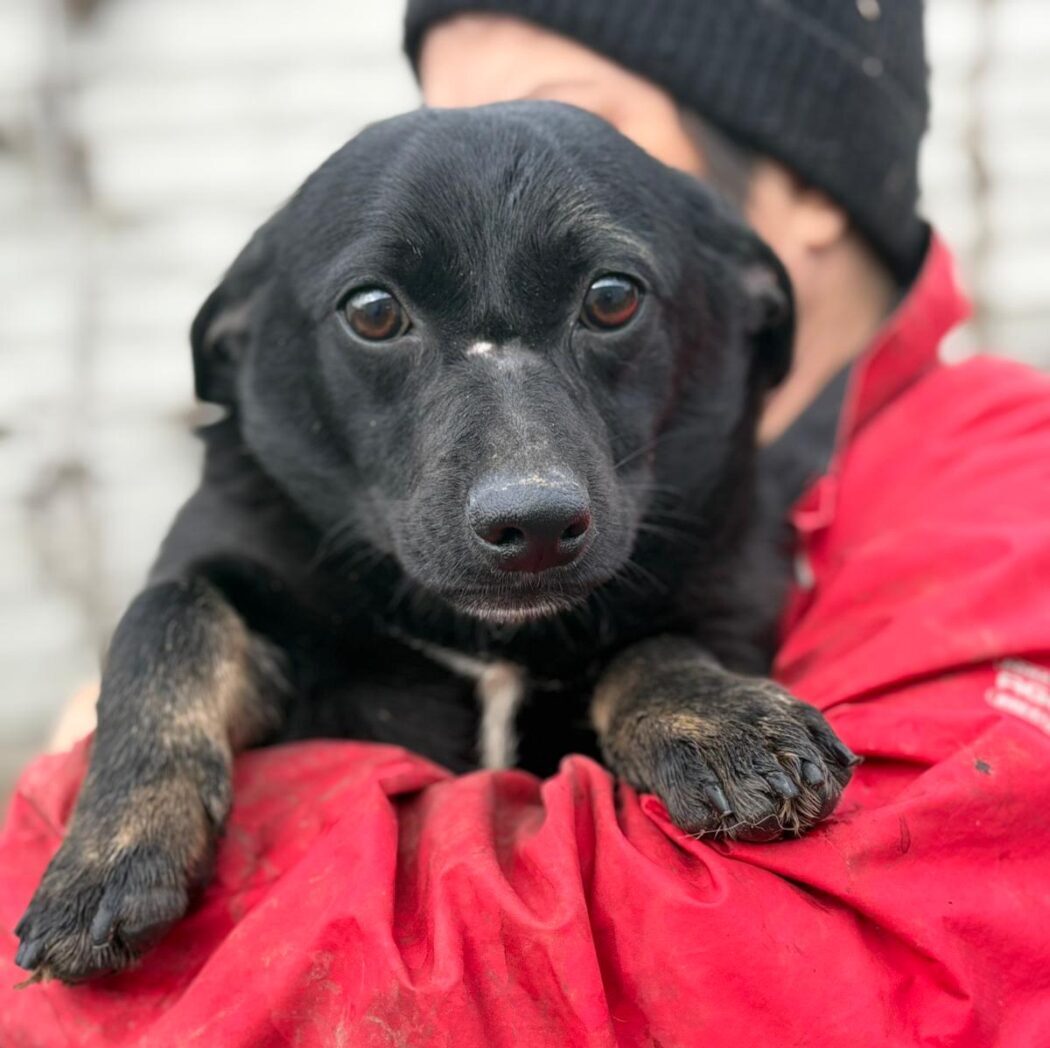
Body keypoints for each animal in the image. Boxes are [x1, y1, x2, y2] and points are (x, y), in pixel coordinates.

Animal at [15, 102, 857, 983]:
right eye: (373, 311)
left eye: (613, 297)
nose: (534, 524)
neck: (489, 641)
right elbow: (165, 617)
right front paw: (110, 848)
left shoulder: (730, 602)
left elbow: (657, 647)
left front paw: (721, 720)